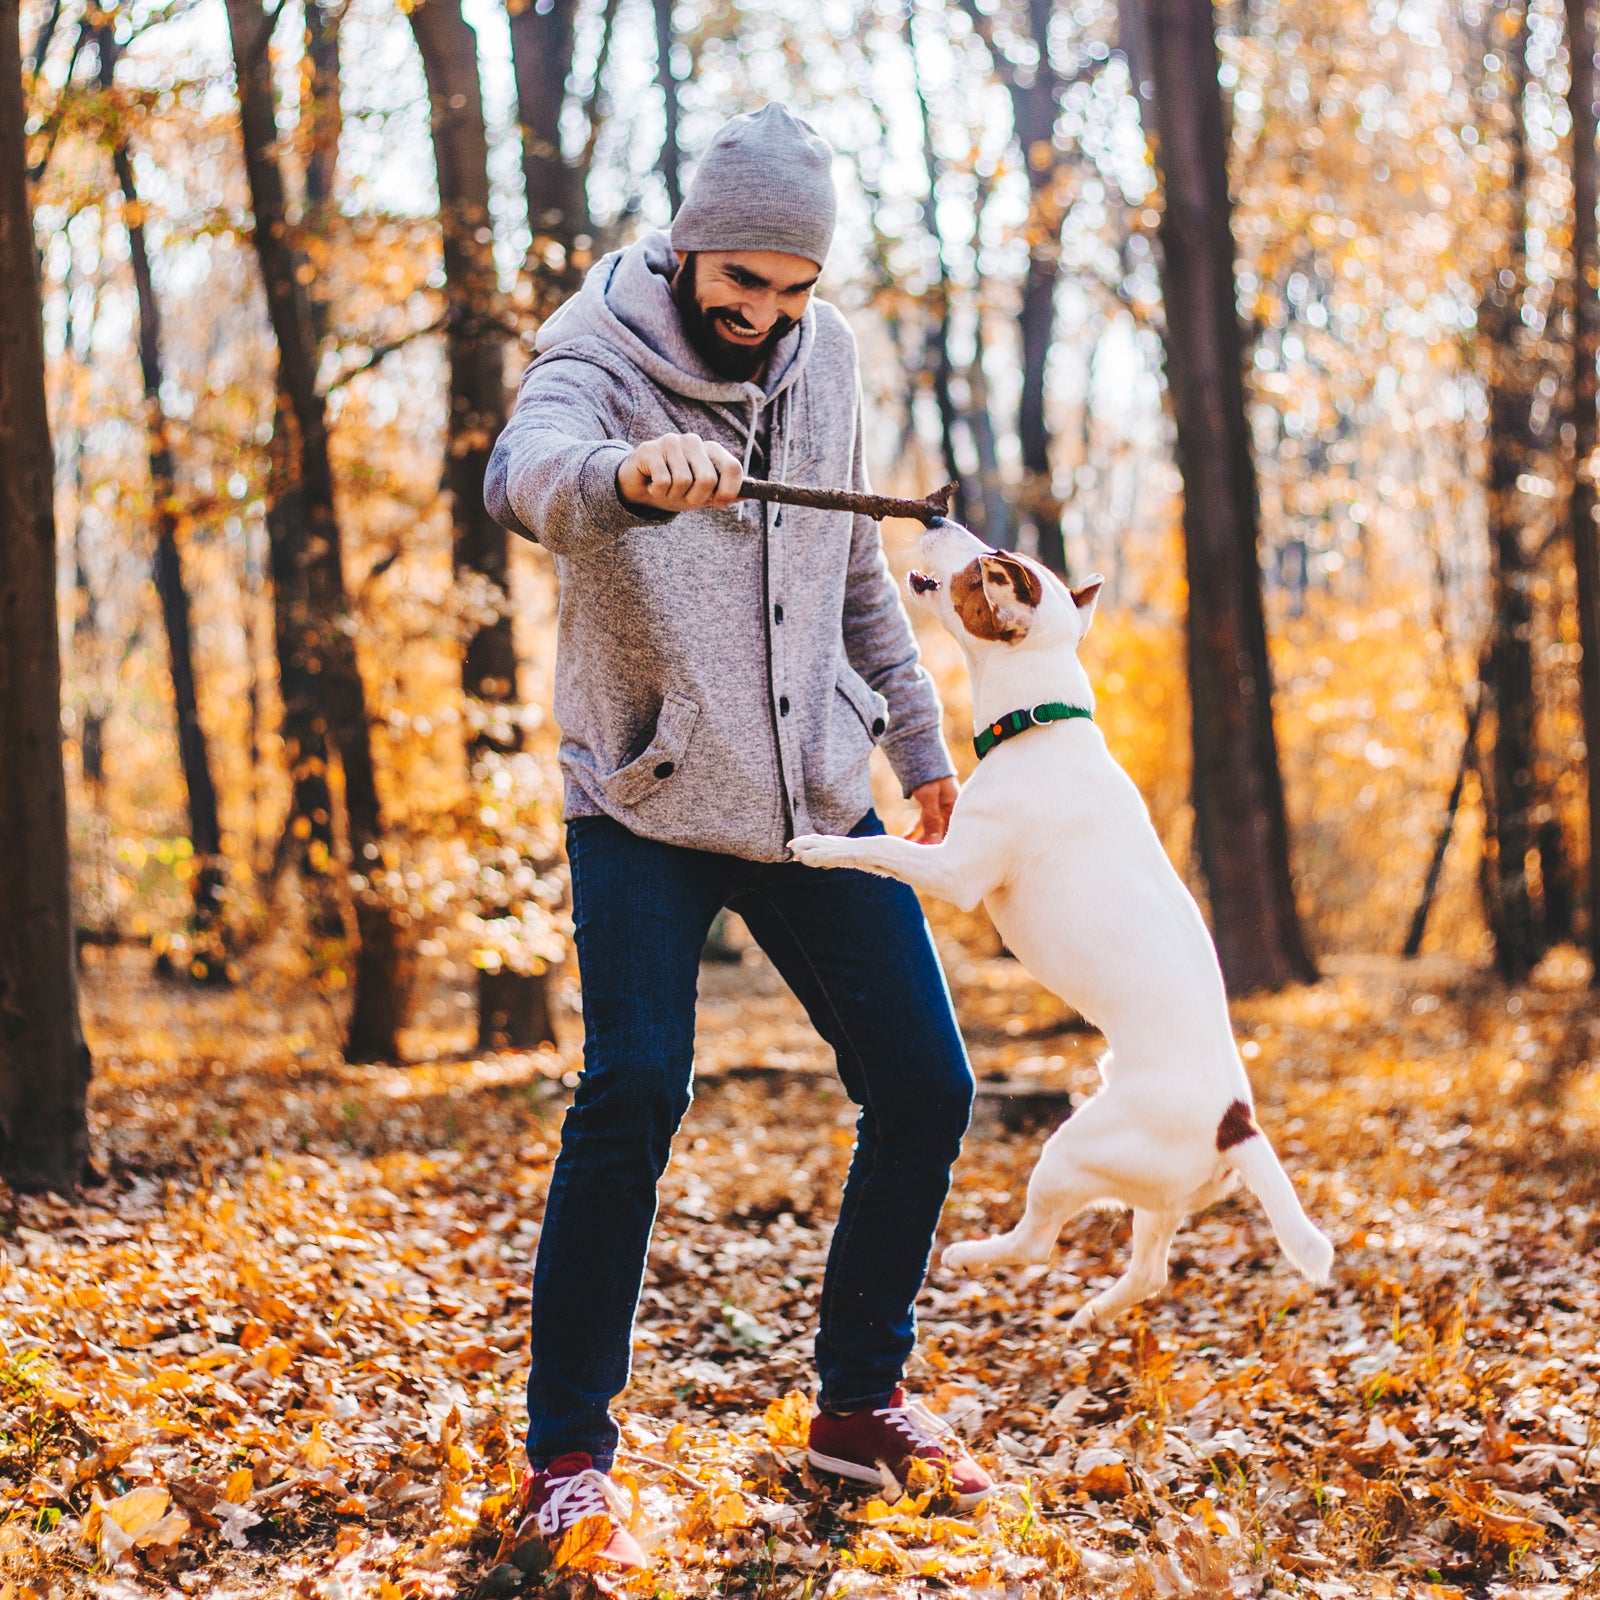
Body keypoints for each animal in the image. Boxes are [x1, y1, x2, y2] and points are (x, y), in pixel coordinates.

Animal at [790, 521, 1337, 1324]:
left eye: (988, 566)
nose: (937, 519)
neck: (1040, 724)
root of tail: (1237, 1123)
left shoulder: (957, 874)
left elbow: (881, 849)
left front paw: (822, 847)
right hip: (1154, 1193)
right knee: (1150, 1272)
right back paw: (1093, 1312)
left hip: (1069, 1153)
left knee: (1035, 1244)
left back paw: (969, 1254)